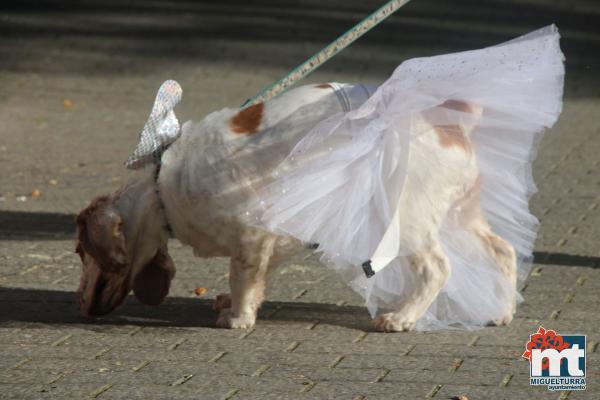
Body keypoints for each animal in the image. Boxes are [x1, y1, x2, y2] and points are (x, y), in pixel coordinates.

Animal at [75, 82, 516, 332]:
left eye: (81, 252)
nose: (80, 302)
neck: (162, 185)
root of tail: (452, 123)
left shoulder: (251, 236)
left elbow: (243, 278)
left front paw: (237, 318)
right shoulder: (272, 238)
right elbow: (257, 279)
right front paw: (234, 304)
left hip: (405, 219)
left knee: (437, 268)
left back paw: (402, 318)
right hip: (460, 216)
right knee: (504, 251)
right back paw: (501, 311)